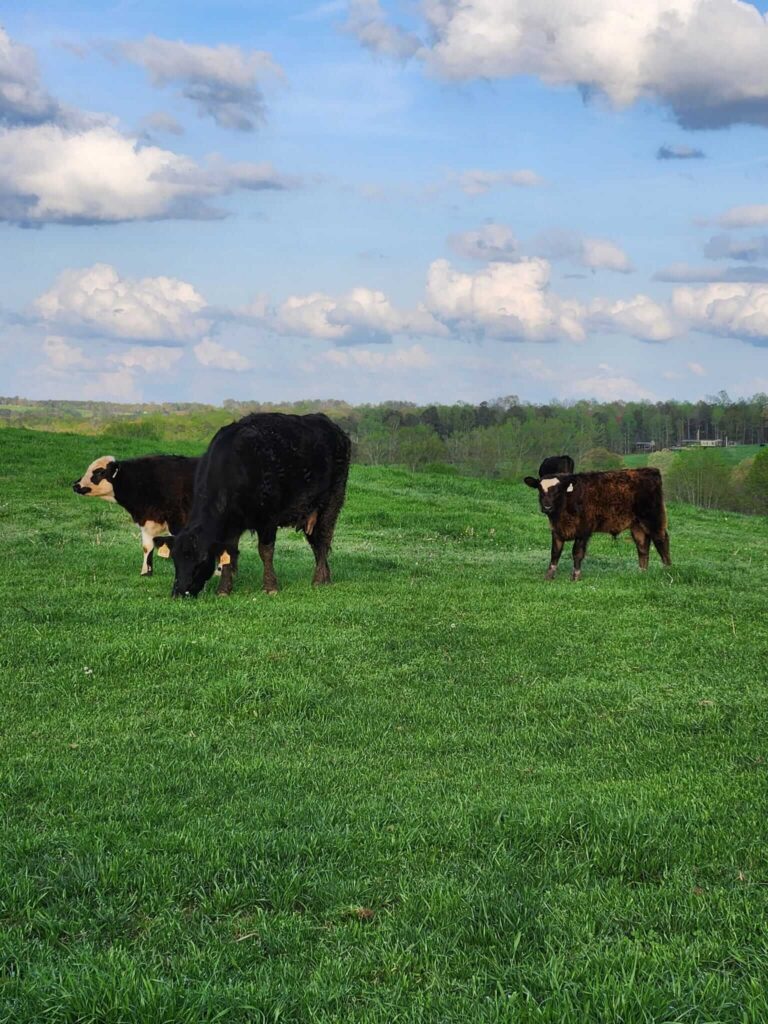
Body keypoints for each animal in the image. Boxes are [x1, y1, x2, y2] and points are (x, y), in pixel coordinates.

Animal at [154, 412, 352, 598]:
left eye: (202, 560)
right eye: (175, 559)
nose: (179, 592)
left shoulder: (268, 520)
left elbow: (265, 552)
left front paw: (270, 587)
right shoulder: (232, 525)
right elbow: (229, 553)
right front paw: (224, 590)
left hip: (332, 504)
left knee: (323, 540)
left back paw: (319, 580)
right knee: (316, 542)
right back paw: (325, 577)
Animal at [523, 467, 671, 580]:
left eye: (558, 490)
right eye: (540, 490)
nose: (547, 507)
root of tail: (650, 470)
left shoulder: (583, 531)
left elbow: (577, 553)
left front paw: (575, 576)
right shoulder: (557, 531)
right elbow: (555, 553)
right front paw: (549, 576)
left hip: (654, 519)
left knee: (661, 540)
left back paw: (668, 570)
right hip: (637, 526)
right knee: (642, 547)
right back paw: (642, 572)